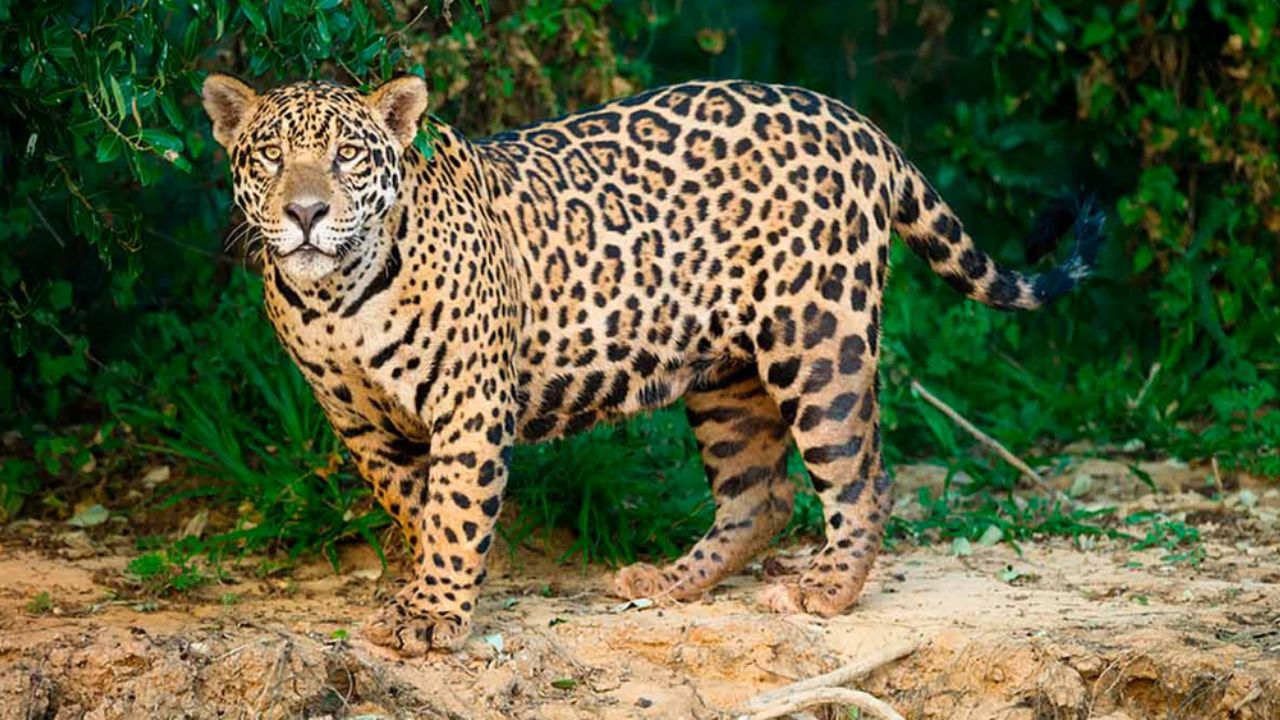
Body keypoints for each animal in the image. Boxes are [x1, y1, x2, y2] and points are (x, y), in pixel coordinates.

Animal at [201, 73, 1103, 656]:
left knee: (863, 476)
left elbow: (456, 509)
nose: (306, 213)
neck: (338, 295)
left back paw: (826, 589)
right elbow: (420, 506)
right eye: (269, 156)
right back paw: (668, 582)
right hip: (726, 374)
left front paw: (432, 615)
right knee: (761, 496)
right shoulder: (359, 424)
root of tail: (853, 118)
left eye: (349, 157)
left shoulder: (470, 402)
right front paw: (429, 589)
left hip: (820, 337)